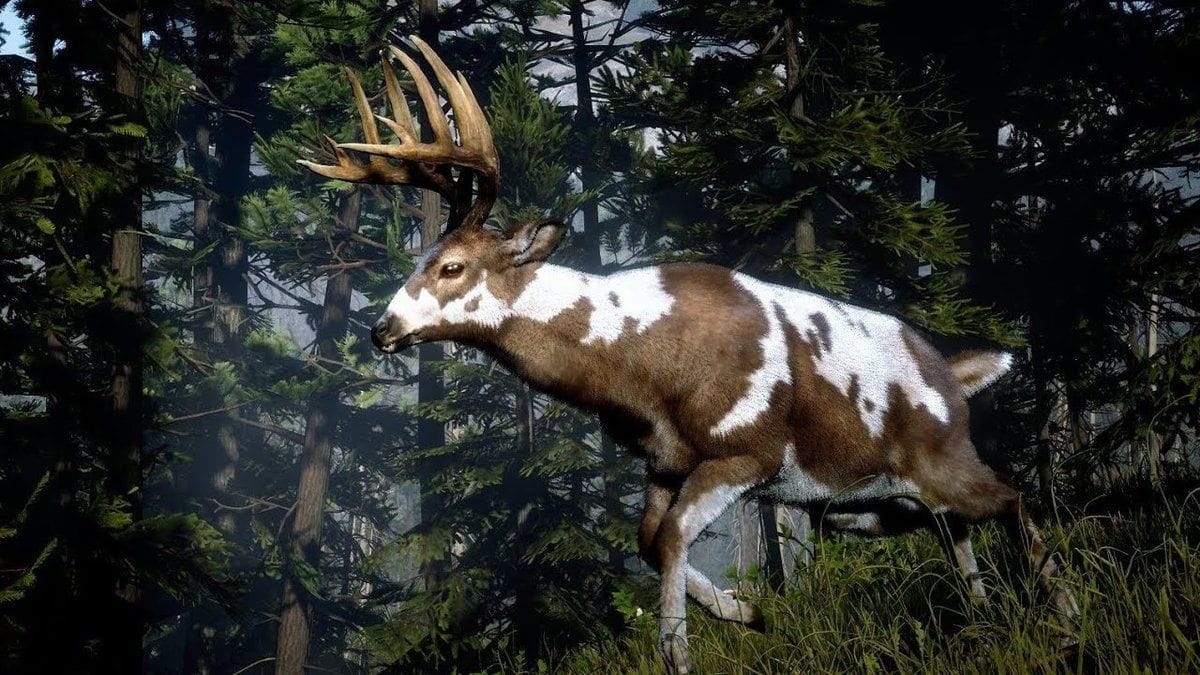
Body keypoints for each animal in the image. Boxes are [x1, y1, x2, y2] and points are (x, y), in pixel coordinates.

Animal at [299, 38, 1079, 674]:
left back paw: (1064, 616)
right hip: (867, 497)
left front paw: (681, 648)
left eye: (452, 267)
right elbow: (650, 538)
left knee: (1009, 495)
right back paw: (985, 616)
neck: (642, 368)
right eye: (421, 259)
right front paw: (748, 610)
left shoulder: (746, 449)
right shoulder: (665, 461)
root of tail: (952, 375)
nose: (382, 328)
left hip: (937, 457)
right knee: (946, 527)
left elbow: (673, 539)